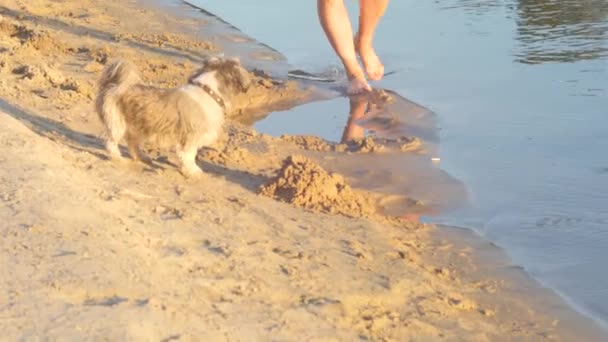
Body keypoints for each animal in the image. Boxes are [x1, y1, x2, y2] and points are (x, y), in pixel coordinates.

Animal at [94, 56, 249, 178]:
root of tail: (114, 85)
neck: (209, 92)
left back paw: (142, 157)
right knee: (111, 142)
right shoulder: (191, 138)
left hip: (139, 127)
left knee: (132, 143)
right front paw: (192, 171)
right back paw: (118, 159)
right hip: (117, 123)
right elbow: (189, 156)